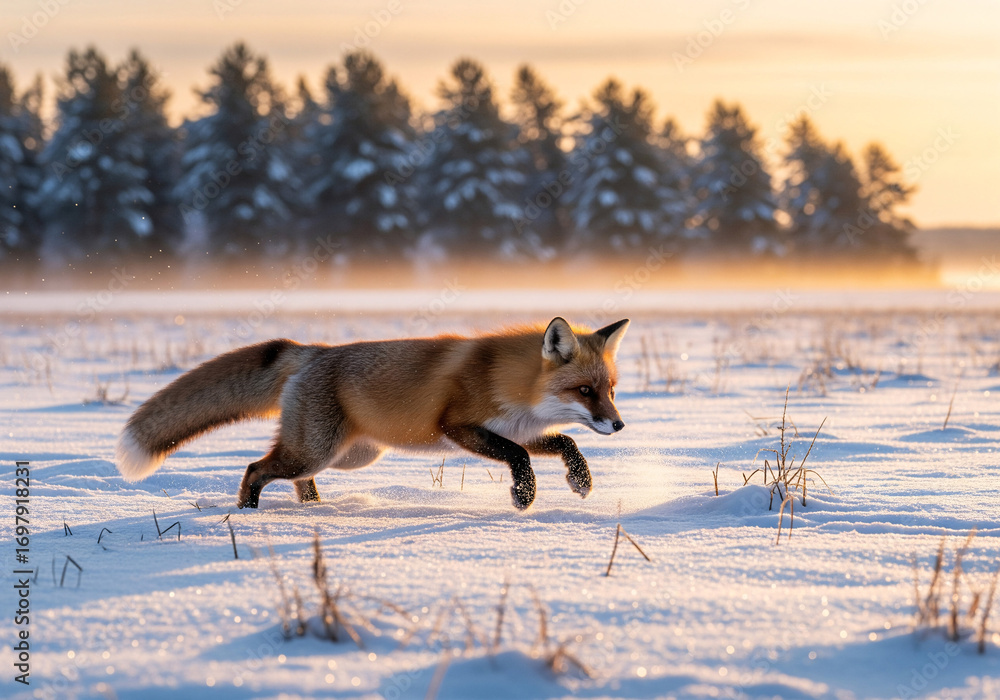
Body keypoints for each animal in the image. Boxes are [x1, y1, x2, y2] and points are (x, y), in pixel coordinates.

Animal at [115, 316, 629, 511]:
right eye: (584, 391)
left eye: (611, 390)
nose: (619, 424)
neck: (513, 383)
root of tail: (312, 351)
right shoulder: (459, 425)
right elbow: (518, 456)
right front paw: (524, 495)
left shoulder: (519, 429)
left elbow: (565, 441)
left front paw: (580, 480)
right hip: (318, 450)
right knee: (255, 468)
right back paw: (247, 513)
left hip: (349, 455)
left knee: (293, 476)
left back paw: (314, 508)